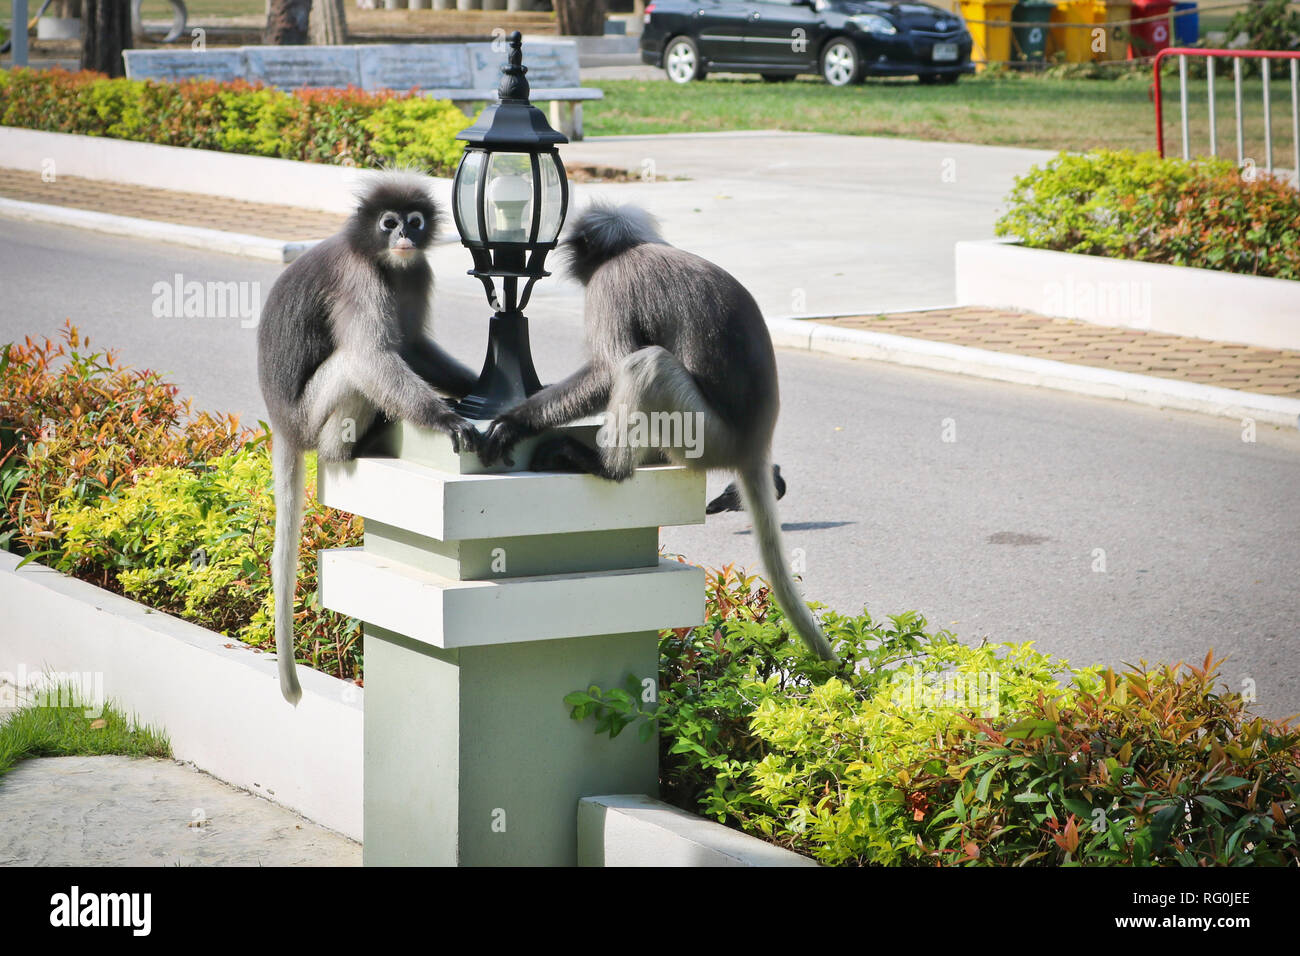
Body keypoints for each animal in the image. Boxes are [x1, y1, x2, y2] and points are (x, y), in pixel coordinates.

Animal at [257, 171, 481, 705]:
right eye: (388, 222)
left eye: (414, 221)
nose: (404, 237)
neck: (384, 261)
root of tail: (280, 422)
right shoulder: (359, 280)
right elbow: (373, 355)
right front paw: (444, 419)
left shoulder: (416, 271)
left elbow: (412, 346)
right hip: (309, 414)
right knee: (354, 364)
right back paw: (349, 446)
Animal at [477, 203, 836, 663]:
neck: (632, 249)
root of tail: (755, 443)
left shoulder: (610, 284)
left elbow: (608, 369)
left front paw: (513, 422)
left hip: (704, 434)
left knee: (646, 363)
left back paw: (608, 465)